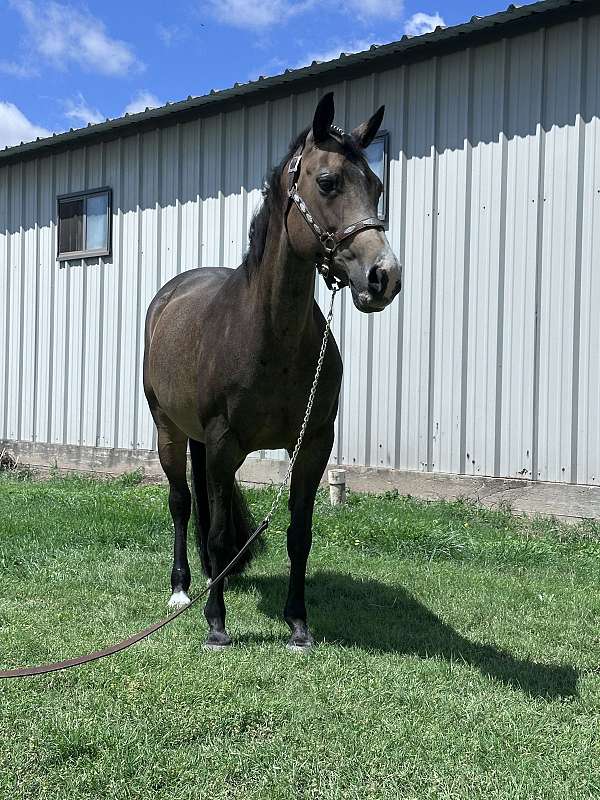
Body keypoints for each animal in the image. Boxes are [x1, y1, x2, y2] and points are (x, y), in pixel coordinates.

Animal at [143, 92, 402, 651]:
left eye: (376, 186)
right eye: (327, 182)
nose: (384, 277)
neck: (268, 336)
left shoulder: (313, 444)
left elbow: (298, 535)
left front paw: (298, 622)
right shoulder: (224, 444)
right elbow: (219, 533)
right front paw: (216, 623)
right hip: (169, 430)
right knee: (181, 502)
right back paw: (182, 588)